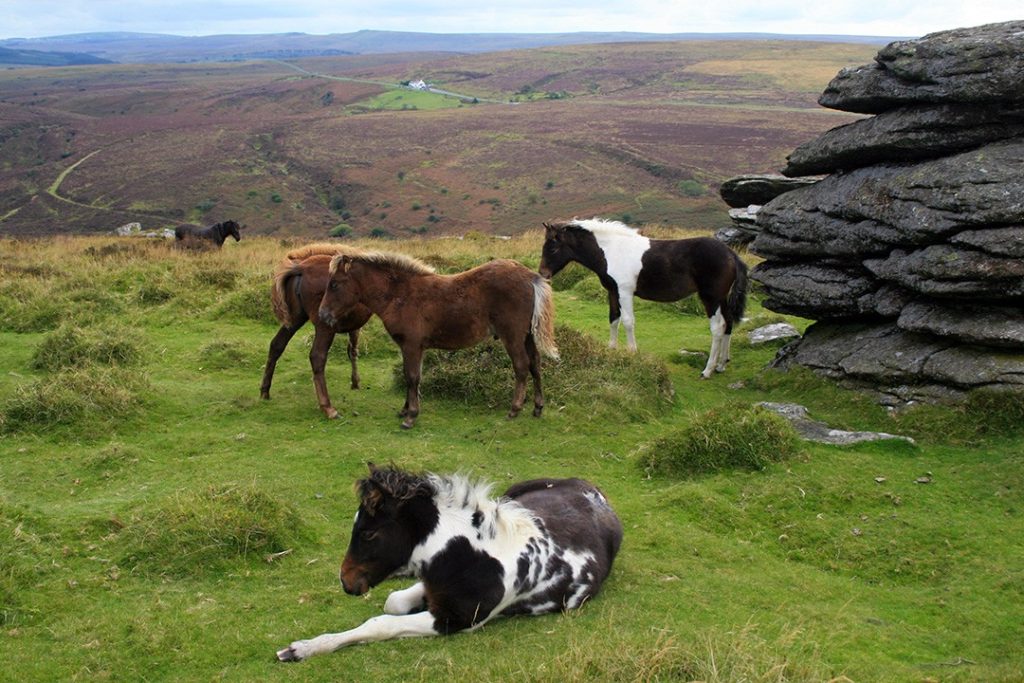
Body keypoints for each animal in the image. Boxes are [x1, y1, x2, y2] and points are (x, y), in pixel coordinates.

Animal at [260, 242, 372, 419]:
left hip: (294, 320)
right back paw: (328, 407)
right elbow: (353, 350)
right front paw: (355, 382)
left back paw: (265, 391)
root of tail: (301, 269)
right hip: (324, 327)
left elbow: (351, 350)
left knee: (276, 345)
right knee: (317, 356)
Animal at [276, 464, 618, 663]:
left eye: (369, 533)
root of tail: (595, 491)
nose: (346, 581)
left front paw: (300, 649)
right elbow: (394, 602)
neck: (471, 556)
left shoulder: (455, 621)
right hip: (512, 496)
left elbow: (381, 623)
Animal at [319, 253, 561, 430]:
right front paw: (405, 409)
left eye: (335, 285)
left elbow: (412, 377)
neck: (400, 295)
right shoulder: (411, 347)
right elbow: (410, 377)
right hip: (527, 335)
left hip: (512, 335)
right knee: (535, 365)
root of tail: (530, 276)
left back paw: (514, 409)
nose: (322, 315)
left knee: (521, 366)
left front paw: (410, 417)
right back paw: (537, 408)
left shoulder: (412, 345)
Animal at [540, 219, 749, 378]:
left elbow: (628, 321)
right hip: (722, 299)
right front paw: (611, 349)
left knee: (717, 328)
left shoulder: (625, 292)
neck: (612, 251)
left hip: (711, 298)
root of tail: (731, 254)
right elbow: (613, 319)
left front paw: (632, 353)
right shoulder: (613, 291)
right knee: (729, 323)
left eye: (553, 248)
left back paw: (707, 370)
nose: (543, 274)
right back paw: (721, 364)